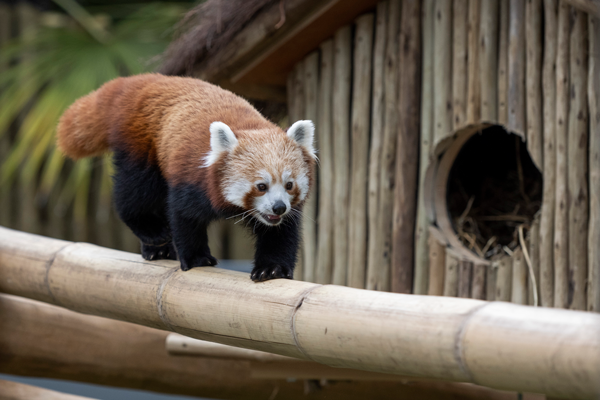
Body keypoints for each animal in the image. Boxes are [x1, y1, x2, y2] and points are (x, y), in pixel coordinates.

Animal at [56, 73, 316, 282]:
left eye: (289, 185)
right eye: (261, 186)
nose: (279, 207)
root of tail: (141, 81)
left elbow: (280, 233)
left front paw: (272, 269)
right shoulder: (192, 178)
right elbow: (185, 216)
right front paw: (196, 257)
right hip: (141, 146)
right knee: (135, 193)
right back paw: (153, 234)